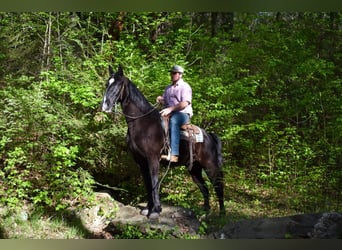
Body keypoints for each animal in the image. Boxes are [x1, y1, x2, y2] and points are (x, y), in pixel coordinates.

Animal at [101, 65, 224, 218]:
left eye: (118, 85)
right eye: (107, 84)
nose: (105, 106)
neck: (143, 123)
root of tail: (209, 136)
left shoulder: (153, 158)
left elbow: (154, 182)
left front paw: (156, 210)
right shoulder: (141, 161)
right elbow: (148, 184)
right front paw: (148, 208)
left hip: (210, 166)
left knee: (218, 186)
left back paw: (222, 214)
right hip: (194, 168)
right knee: (205, 188)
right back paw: (205, 213)